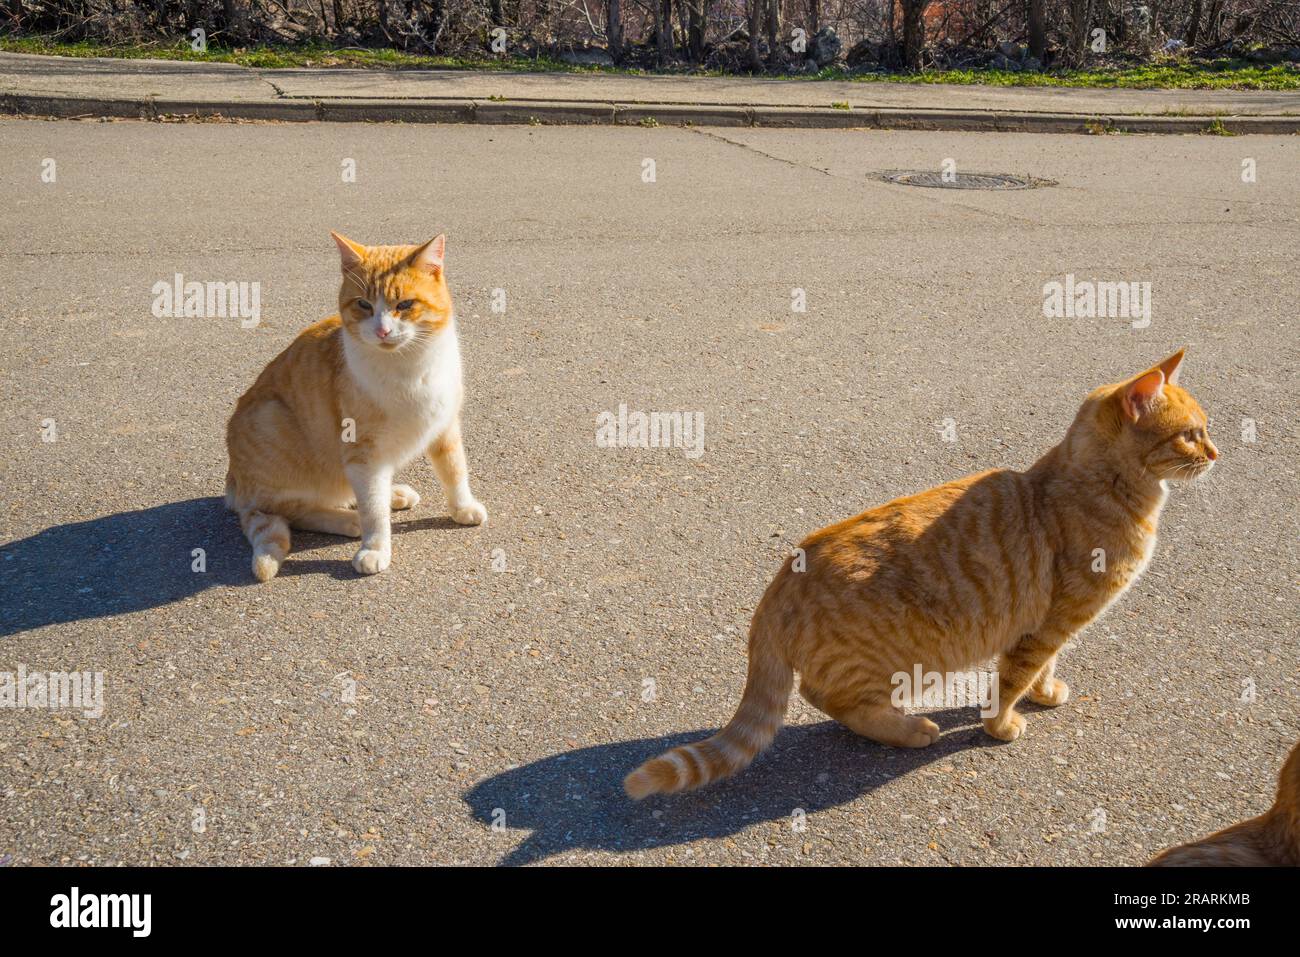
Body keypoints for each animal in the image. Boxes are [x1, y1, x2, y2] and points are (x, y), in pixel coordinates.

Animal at [223, 230, 488, 582]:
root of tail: (234, 482)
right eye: (364, 304)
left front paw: (462, 506)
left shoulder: (444, 425)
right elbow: (373, 511)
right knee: (294, 510)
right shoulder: (362, 452)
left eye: (405, 305)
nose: (382, 330)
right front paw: (375, 547)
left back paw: (392, 494)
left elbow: (454, 469)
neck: (409, 366)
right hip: (271, 421)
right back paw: (348, 519)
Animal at [629, 351, 1216, 800]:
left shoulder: (1056, 626)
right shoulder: (1046, 624)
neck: (1102, 484)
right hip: (896, 661)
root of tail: (784, 575)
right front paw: (1002, 726)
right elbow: (1010, 681)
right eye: (1190, 436)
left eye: (1205, 432)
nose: (1216, 452)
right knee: (828, 698)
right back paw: (911, 730)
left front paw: (1046, 692)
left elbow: (1043, 667)